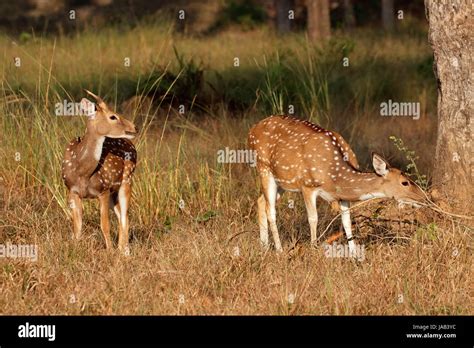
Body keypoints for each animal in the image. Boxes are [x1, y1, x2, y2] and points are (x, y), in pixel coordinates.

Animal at [62, 89, 138, 253]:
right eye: (113, 116)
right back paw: (122, 249)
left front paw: (109, 251)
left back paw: (124, 252)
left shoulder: (103, 190)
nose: (135, 127)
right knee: (122, 216)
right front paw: (74, 249)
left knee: (125, 216)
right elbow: (77, 226)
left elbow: (105, 225)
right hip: (113, 193)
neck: (83, 172)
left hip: (126, 180)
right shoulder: (73, 191)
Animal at [248, 115, 426, 254]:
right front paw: (314, 250)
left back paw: (264, 247)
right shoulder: (307, 185)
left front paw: (354, 256)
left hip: (283, 182)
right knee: (271, 210)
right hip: (264, 168)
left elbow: (346, 221)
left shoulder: (342, 196)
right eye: (405, 182)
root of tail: (251, 131)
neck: (334, 177)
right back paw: (278, 250)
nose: (423, 197)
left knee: (260, 201)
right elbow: (313, 218)